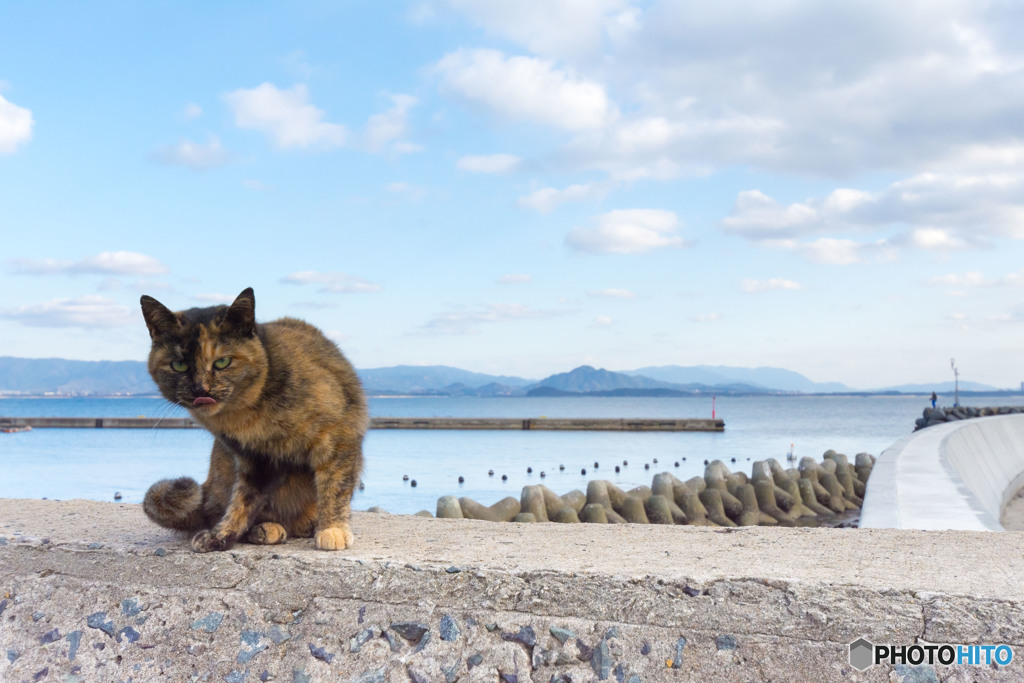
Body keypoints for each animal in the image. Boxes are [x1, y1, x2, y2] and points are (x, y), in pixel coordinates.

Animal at [140, 286, 368, 552]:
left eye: (222, 362)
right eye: (178, 365)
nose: (200, 389)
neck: (250, 415)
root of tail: (206, 490)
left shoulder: (337, 435)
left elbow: (335, 485)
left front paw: (332, 528)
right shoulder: (254, 458)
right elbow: (243, 500)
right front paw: (221, 534)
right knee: (220, 510)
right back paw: (265, 529)